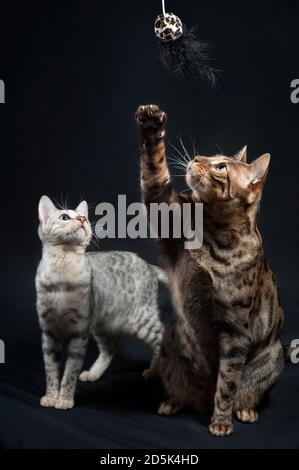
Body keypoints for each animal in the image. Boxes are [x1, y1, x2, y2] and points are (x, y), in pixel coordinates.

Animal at [136, 103, 286, 436]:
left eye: (221, 167)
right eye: (210, 157)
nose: (195, 158)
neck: (211, 232)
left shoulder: (234, 329)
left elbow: (227, 382)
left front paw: (221, 420)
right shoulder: (164, 206)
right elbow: (155, 173)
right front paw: (152, 125)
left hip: (273, 356)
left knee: (245, 390)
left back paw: (243, 410)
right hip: (171, 338)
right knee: (175, 380)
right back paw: (173, 401)